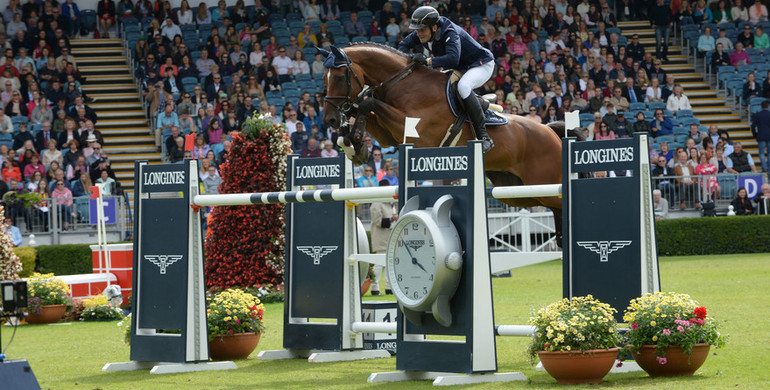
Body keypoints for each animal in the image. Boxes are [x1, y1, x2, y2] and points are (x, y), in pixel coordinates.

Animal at [318, 44, 576, 242]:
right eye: (323, 78)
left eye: (339, 77)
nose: (330, 119)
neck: (402, 83)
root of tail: (551, 132)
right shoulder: (388, 135)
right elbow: (362, 108)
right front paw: (352, 144)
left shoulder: (412, 129)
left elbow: (367, 103)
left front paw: (354, 140)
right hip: (518, 193)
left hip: (543, 187)